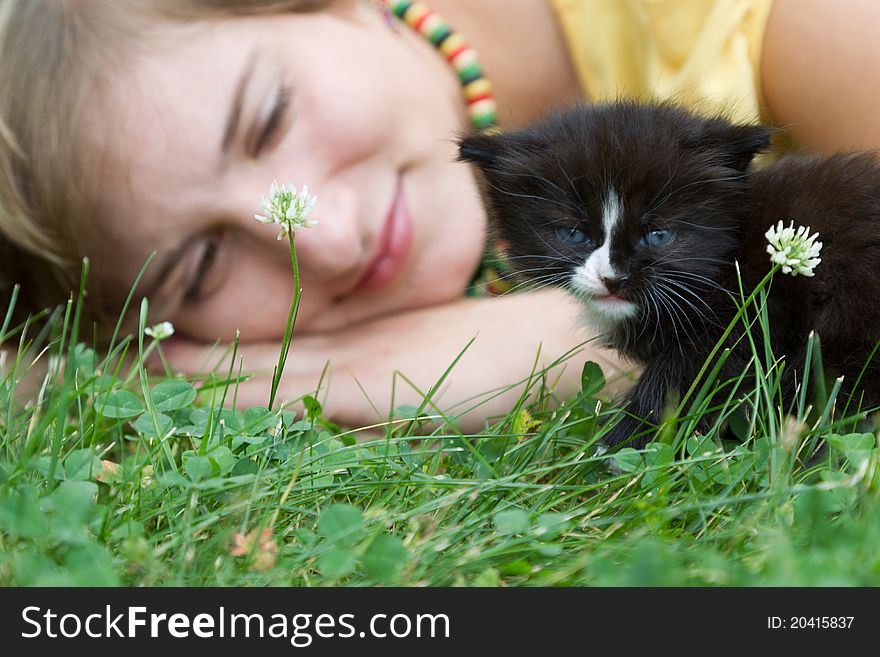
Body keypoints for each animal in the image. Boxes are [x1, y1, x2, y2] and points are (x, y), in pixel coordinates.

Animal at [458, 102, 880, 448]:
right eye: (574, 234)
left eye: (659, 236)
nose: (613, 277)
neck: (733, 253)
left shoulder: (752, 309)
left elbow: (692, 373)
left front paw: (617, 446)